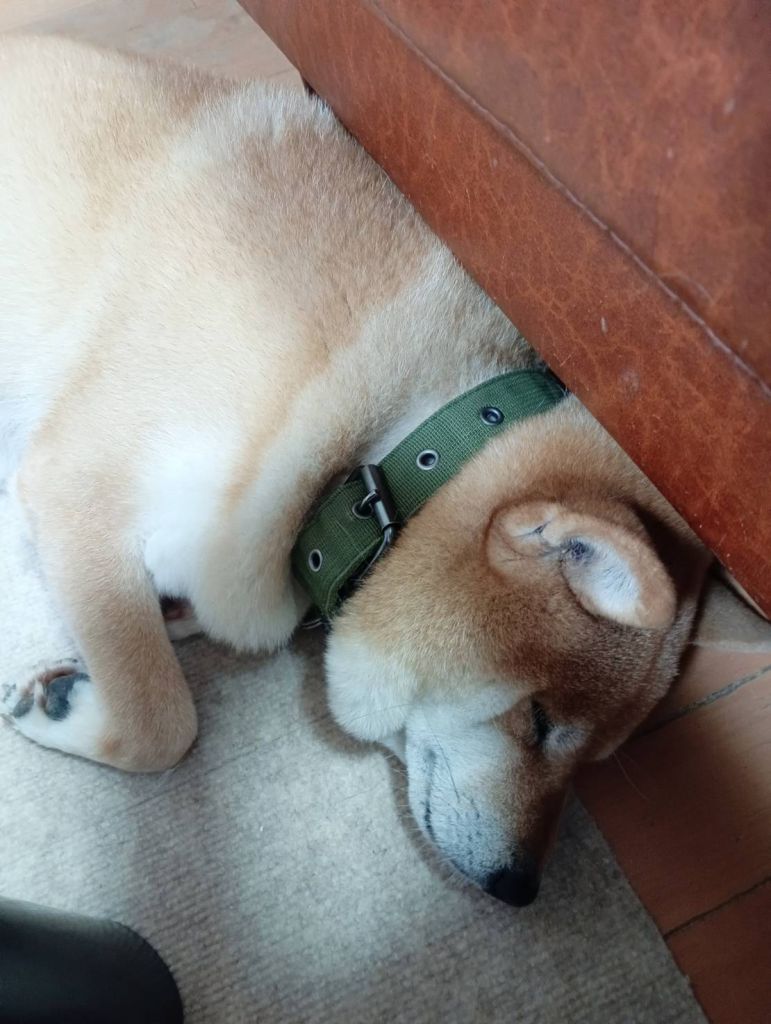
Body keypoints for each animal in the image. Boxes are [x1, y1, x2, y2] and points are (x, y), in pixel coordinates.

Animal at [0, 36, 708, 906]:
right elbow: (163, 719)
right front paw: (77, 703)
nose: (519, 887)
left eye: (591, 763)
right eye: (537, 723)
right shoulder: (78, 480)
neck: (387, 448)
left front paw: (151, 627)